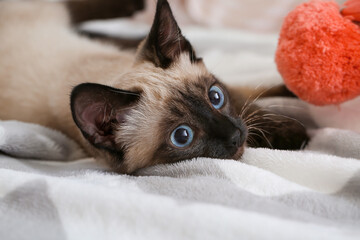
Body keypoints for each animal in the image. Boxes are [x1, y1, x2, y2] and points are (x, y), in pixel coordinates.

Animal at [0, 0, 310, 172]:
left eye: (215, 97)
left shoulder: (231, 92)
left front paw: (293, 100)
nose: (235, 136)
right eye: (182, 136)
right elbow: (251, 101)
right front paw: (296, 134)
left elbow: (250, 97)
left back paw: (132, 15)